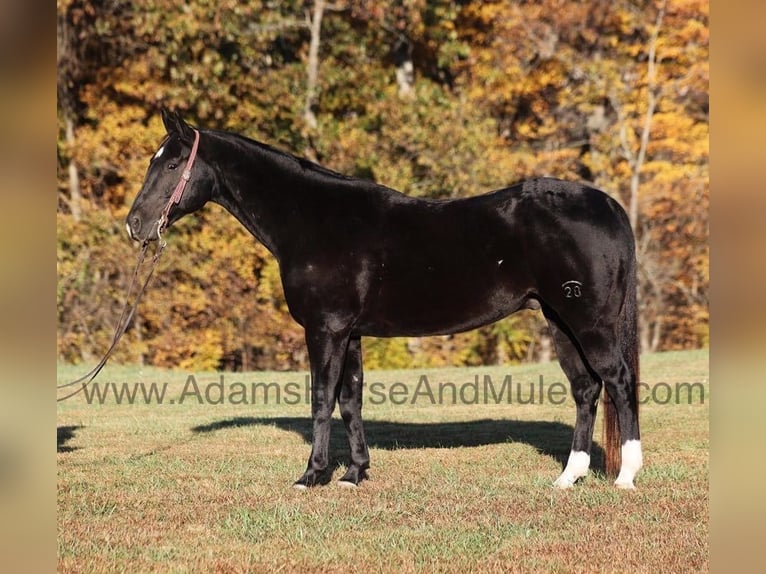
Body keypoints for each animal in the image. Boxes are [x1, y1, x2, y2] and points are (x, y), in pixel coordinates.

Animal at [127, 109, 642, 490]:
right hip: (560, 321)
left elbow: (322, 399)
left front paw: (311, 476)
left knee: (618, 381)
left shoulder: (325, 329)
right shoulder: (349, 332)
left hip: (589, 323)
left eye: (171, 165)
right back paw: (568, 477)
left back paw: (626, 476)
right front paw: (355, 474)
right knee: (586, 389)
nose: (135, 225)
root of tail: (608, 205)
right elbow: (350, 401)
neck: (313, 221)